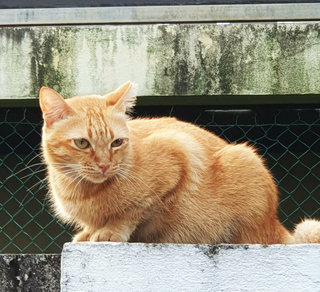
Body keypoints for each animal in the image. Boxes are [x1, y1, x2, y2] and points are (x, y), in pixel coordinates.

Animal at [39, 80, 320, 244]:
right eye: (82, 143)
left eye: (116, 143)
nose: (105, 165)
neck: (80, 191)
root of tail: (275, 223)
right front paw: (88, 233)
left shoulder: (177, 152)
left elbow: (133, 211)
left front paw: (110, 231)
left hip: (243, 160)